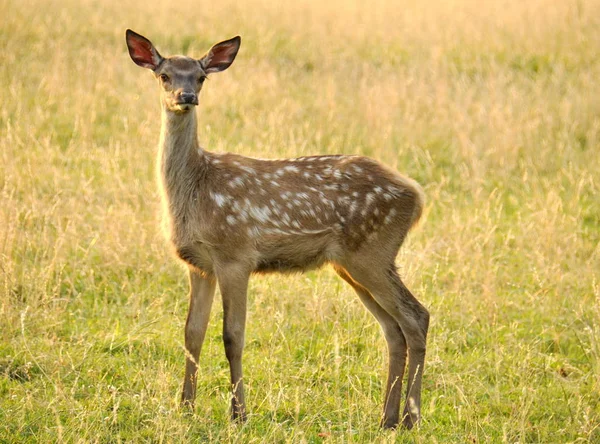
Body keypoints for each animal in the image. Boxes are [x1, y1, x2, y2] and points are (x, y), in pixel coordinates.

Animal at [125, 28, 426, 430]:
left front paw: (238, 413)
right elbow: (192, 333)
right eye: (164, 75)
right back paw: (388, 418)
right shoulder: (199, 264)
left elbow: (232, 336)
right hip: (352, 264)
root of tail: (417, 196)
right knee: (393, 329)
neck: (195, 189)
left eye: (201, 77)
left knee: (416, 317)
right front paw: (185, 407)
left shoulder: (235, 254)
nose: (185, 97)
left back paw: (411, 416)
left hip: (373, 253)